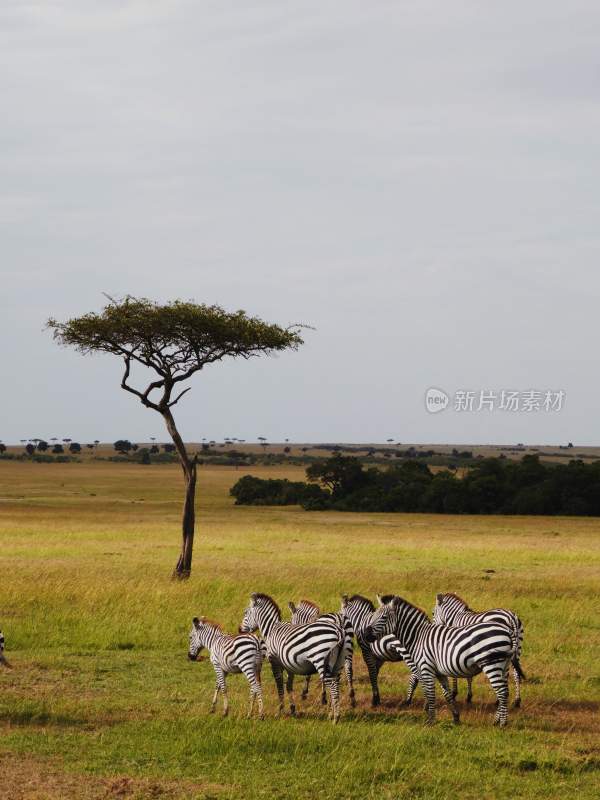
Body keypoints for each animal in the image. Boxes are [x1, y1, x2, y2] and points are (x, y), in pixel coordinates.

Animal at [240, 592, 352, 720]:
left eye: (245, 612)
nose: (240, 629)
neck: (271, 629)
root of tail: (338, 629)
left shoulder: (275, 662)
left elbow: (280, 685)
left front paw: (280, 710)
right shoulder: (289, 664)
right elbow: (289, 685)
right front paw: (293, 709)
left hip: (321, 659)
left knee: (332, 684)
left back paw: (335, 716)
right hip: (339, 660)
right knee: (337, 682)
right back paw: (331, 713)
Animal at [364, 592, 516, 724]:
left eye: (383, 617)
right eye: (373, 615)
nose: (365, 634)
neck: (418, 636)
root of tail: (507, 629)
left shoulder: (426, 668)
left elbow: (430, 694)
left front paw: (431, 721)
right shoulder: (439, 672)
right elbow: (447, 695)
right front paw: (456, 718)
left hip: (492, 664)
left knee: (502, 692)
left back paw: (502, 723)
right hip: (503, 665)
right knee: (505, 691)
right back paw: (497, 720)